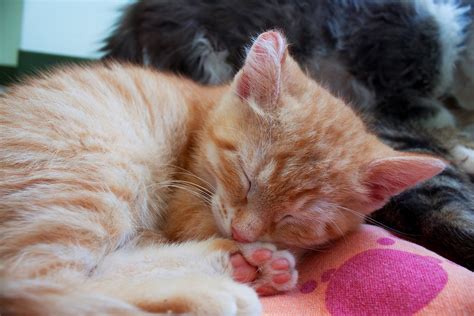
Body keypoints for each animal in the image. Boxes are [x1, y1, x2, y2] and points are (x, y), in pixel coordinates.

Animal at [0, 31, 444, 314]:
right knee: (36, 283)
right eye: (246, 178)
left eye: (295, 216)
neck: (205, 111)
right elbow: (196, 222)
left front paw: (263, 256)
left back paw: (240, 264)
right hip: (100, 174)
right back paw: (211, 290)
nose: (244, 234)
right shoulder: (182, 201)